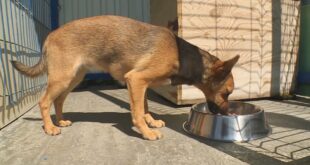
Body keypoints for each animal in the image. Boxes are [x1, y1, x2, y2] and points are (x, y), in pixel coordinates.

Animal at [11, 15, 240, 140]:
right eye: (226, 93)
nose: (228, 114)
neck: (181, 55)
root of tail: (50, 35)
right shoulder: (136, 80)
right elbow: (137, 111)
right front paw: (146, 131)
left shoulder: (142, 84)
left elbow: (144, 107)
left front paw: (151, 121)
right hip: (62, 78)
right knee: (44, 101)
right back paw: (50, 127)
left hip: (73, 78)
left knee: (57, 100)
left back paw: (60, 121)